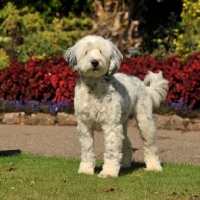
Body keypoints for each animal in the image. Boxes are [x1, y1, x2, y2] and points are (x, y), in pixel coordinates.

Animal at [65, 34, 168, 178]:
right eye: (86, 52)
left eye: (101, 52)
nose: (95, 62)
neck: (94, 88)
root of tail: (142, 85)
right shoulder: (84, 125)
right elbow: (87, 149)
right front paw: (86, 169)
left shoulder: (111, 126)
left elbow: (111, 150)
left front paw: (108, 172)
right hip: (122, 123)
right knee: (127, 143)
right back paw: (124, 163)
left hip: (144, 121)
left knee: (150, 146)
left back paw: (153, 166)